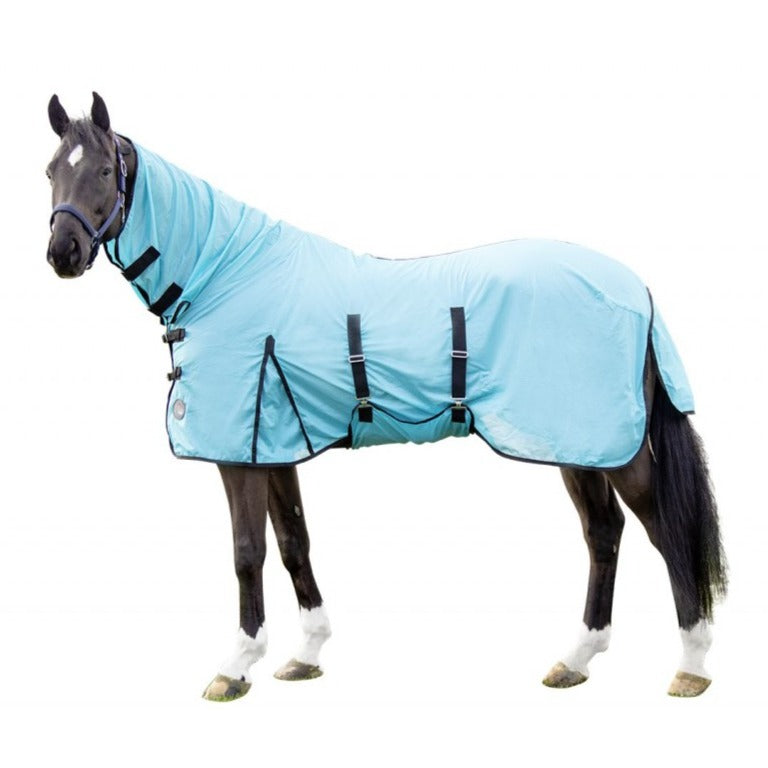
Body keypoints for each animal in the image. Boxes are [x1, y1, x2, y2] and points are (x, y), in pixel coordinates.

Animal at [45, 92, 727, 701]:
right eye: (52, 170)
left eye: (102, 169)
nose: (62, 253)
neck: (226, 276)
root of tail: (637, 289)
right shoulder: (276, 445)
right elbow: (293, 542)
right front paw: (306, 653)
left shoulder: (241, 454)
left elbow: (247, 552)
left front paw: (236, 666)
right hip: (575, 445)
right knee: (604, 532)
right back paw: (576, 659)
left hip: (612, 448)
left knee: (665, 529)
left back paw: (691, 664)